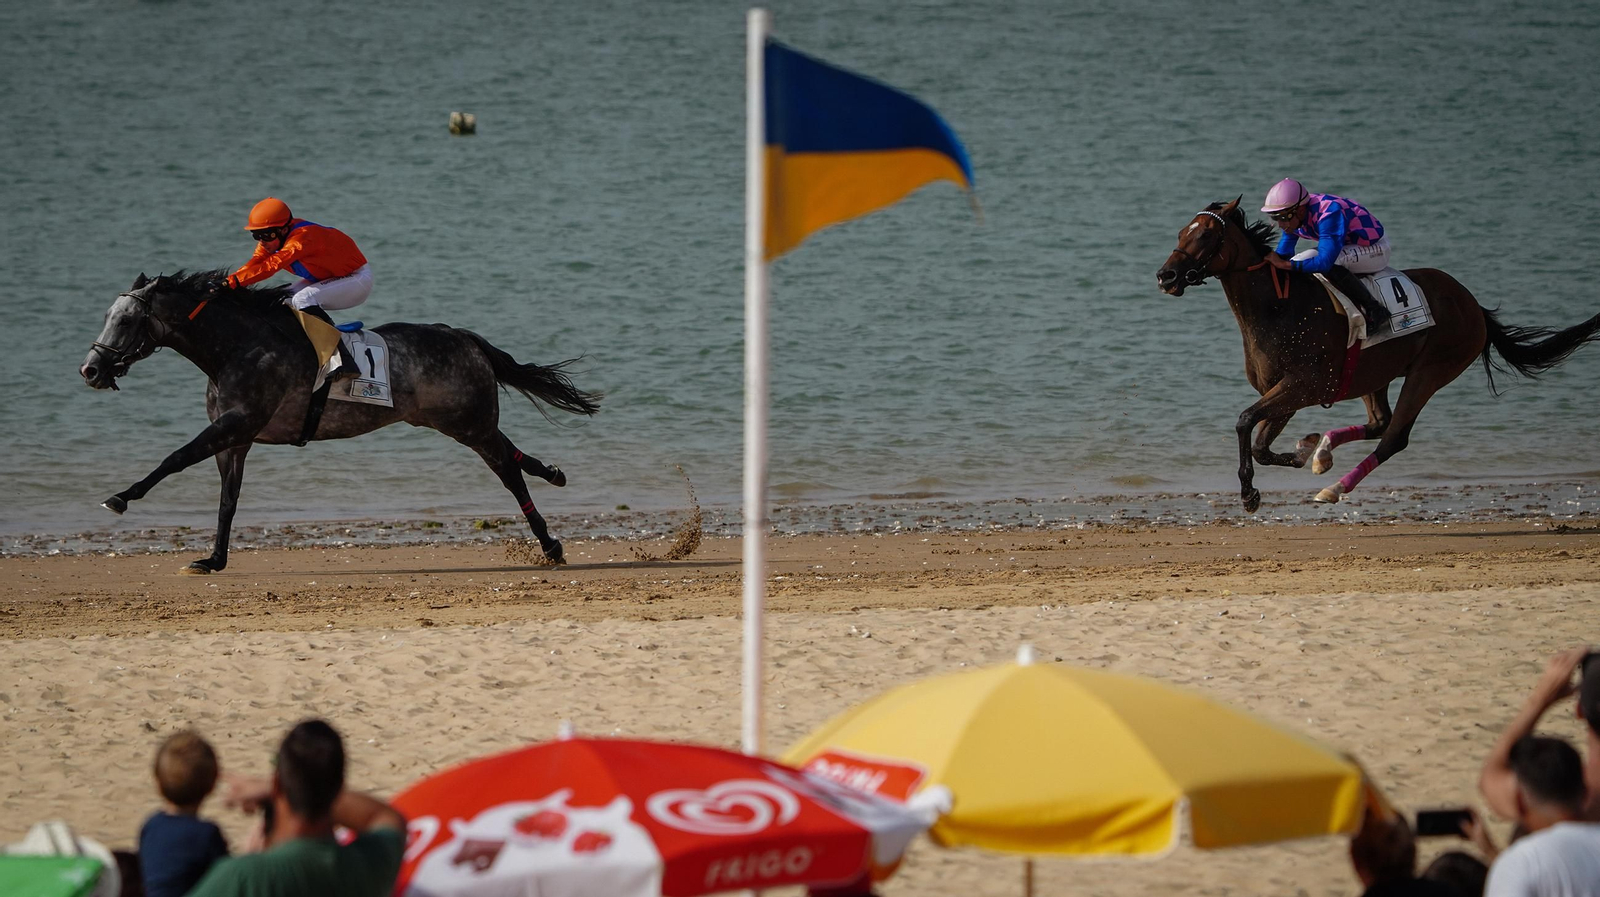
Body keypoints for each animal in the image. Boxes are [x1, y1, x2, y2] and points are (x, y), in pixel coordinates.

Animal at [80, 271, 602, 572]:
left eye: (125, 321)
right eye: (107, 315)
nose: (91, 370)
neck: (236, 347)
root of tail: (464, 337)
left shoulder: (235, 424)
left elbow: (175, 457)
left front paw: (120, 498)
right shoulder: (237, 439)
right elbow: (228, 501)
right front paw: (213, 559)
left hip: (467, 423)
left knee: (509, 473)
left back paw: (550, 545)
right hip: (461, 422)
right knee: (512, 453)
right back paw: (553, 475)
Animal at [1156, 198, 1600, 513]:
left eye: (1206, 236)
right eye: (1179, 232)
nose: (1166, 276)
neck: (1278, 306)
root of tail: (1473, 304)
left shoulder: (1303, 384)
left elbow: (1246, 421)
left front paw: (1250, 493)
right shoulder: (1288, 392)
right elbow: (1262, 444)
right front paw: (1303, 450)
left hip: (1430, 372)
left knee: (1393, 437)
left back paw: (1333, 488)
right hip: (1375, 374)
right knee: (1378, 423)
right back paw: (1323, 453)